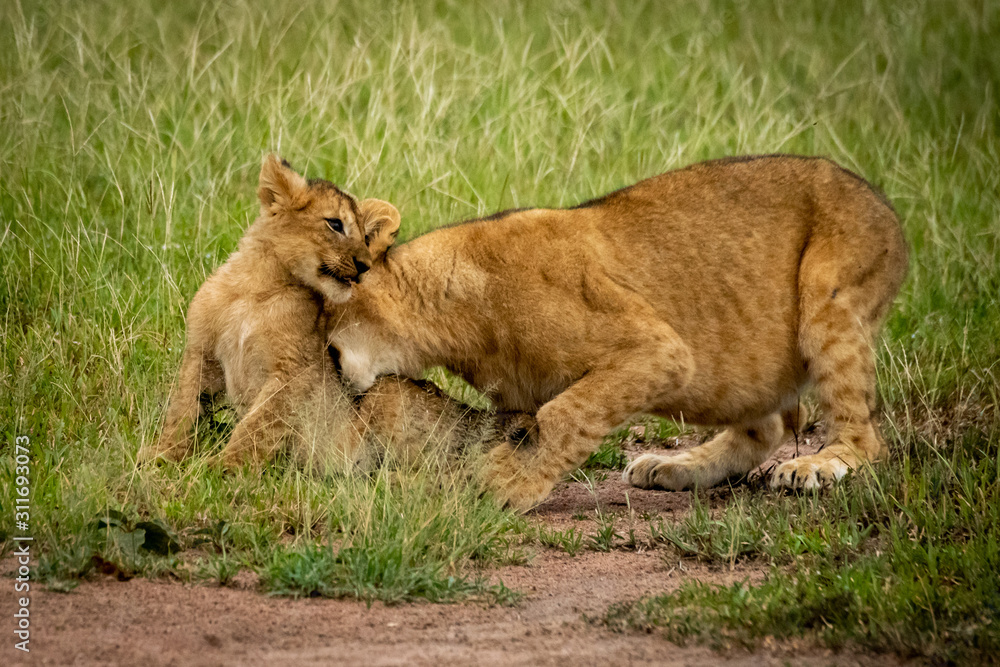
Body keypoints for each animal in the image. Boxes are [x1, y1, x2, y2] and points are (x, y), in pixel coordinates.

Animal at [326, 154, 909, 510]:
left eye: (324, 312)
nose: (327, 362)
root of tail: (884, 201)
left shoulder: (660, 351)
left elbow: (566, 416)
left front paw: (502, 487)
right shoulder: (514, 402)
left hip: (830, 301)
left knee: (863, 435)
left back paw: (818, 466)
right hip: (742, 373)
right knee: (770, 425)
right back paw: (679, 466)